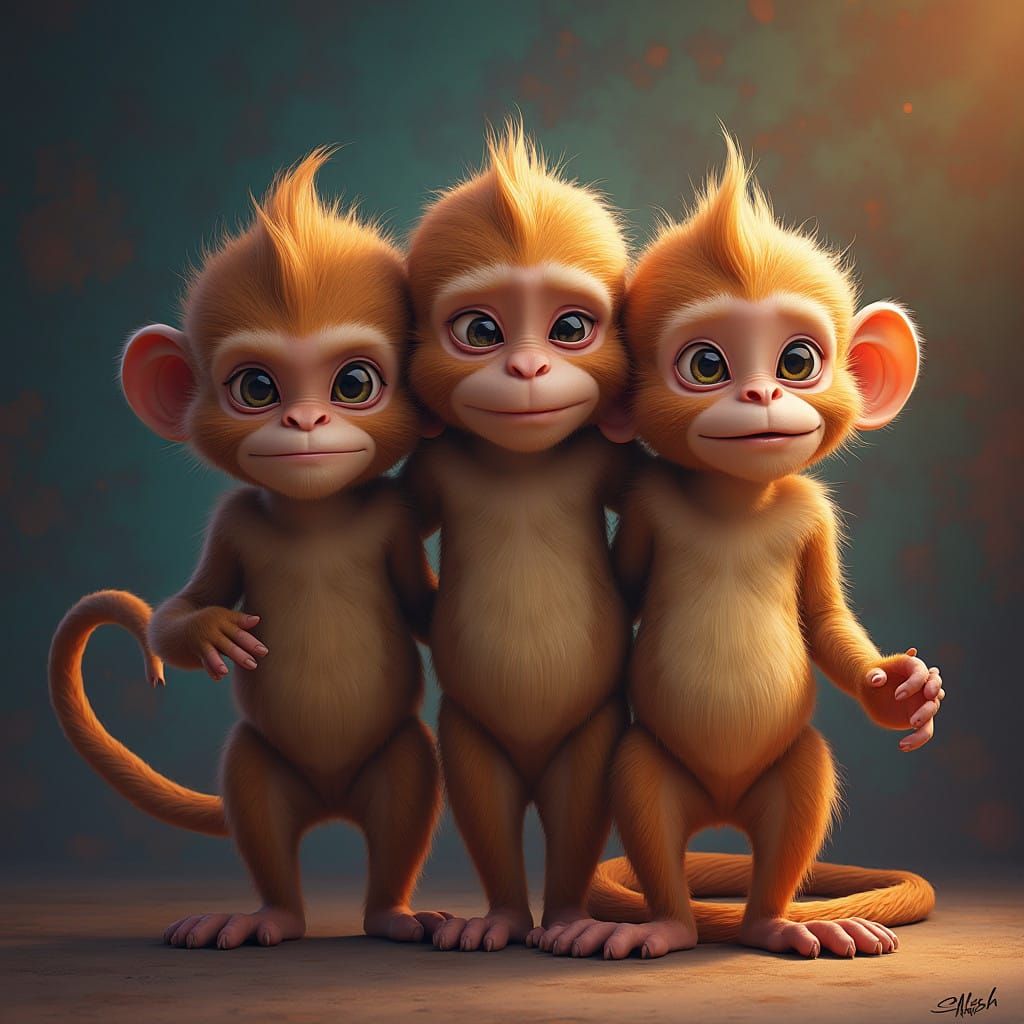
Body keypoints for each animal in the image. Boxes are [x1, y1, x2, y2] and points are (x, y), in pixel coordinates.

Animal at [48, 151, 449, 950]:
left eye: (353, 383)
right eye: (257, 388)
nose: (304, 420)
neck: (316, 515)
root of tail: (330, 806)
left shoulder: (391, 517)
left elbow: (419, 608)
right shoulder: (231, 521)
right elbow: (180, 608)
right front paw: (212, 630)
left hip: (393, 762)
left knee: (407, 795)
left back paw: (395, 915)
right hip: (264, 770)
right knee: (258, 811)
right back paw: (270, 916)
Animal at [401, 120, 639, 952]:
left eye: (569, 328)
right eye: (482, 330)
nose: (529, 367)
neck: (522, 461)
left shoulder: (607, 457)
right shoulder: (431, 464)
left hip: (589, 735)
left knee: (576, 806)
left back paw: (564, 919)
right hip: (471, 734)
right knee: (486, 802)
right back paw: (501, 918)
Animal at [533, 134, 945, 961]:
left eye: (796, 362)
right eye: (707, 365)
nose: (761, 395)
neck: (735, 498)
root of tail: (719, 810)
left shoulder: (813, 516)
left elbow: (825, 619)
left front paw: (901, 692)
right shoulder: (649, 503)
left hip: (781, 776)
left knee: (801, 792)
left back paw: (778, 923)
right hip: (660, 773)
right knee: (645, 799)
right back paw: (665, 926)